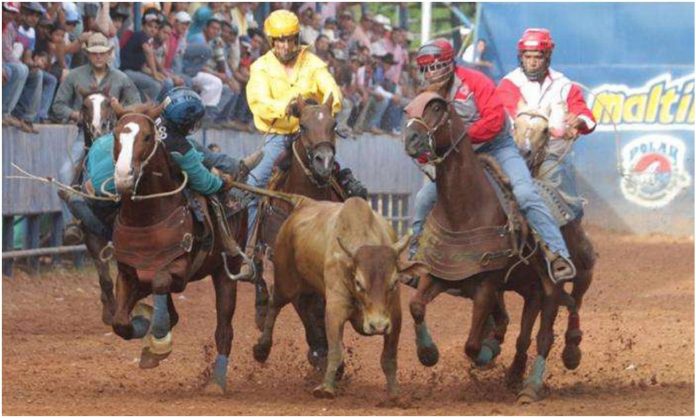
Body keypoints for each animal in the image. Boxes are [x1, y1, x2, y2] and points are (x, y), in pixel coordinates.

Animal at [107, 103, 249, 392]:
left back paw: (217, 380)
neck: (146, 218)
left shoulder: (179, 270)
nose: (124, 176)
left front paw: (157, 339)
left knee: (224, 329)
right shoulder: (128, 273)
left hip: (227, 270)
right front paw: (145, 329)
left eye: (147, 137)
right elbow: (120, 323)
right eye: (116, 135)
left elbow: (161, 283)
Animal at [247, 198, 426, 400]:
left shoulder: (394, 314)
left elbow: (389, 357)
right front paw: (326, 387)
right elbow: (335, 351)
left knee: (304, 308)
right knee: (274, 303)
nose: (378, 326)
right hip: (286, 281)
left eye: (394, 281)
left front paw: (395, 393)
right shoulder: (335, 310)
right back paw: (262, 349)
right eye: (358, 282)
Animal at [251, 94, 346, 372]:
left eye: (333, 124)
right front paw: (318, 351)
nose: (324, 162)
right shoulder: (285, 267)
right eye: (302, 126)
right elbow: (304, 308)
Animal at [400, 90, 572, 402]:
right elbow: (416, 306)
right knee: (522, 331)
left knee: (544, 336)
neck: (464, 210)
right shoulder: (440, 273)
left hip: (550, 287)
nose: (412, 139)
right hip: (528, 287)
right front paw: (428, 353)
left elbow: (471, 344)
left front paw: (486, 353)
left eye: (437, 108)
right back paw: (515, 374)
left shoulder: (487, 285)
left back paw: (530, 386)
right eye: (408, 109)